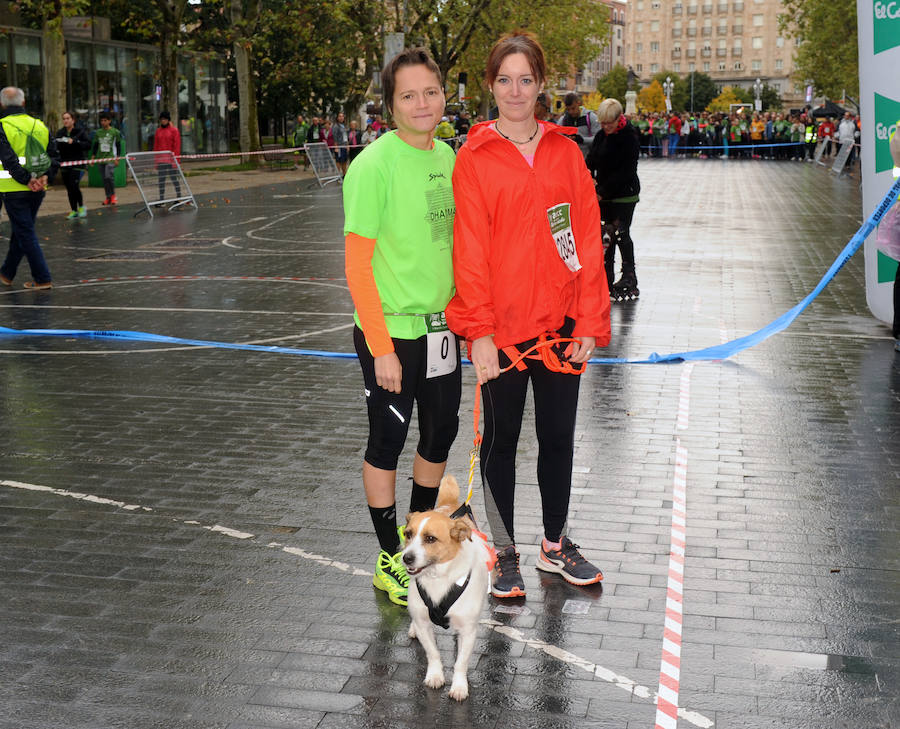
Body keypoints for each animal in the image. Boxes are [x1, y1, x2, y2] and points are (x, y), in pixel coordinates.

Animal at [402, 472, 496, 700]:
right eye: (408, 534)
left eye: (430, 539)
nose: (406, 558)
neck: (438, 577)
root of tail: (449, 506)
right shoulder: (424, 623)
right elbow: (433, 653)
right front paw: (435, 676)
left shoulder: (469, 631)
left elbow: (461, 663)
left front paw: (459, 687)